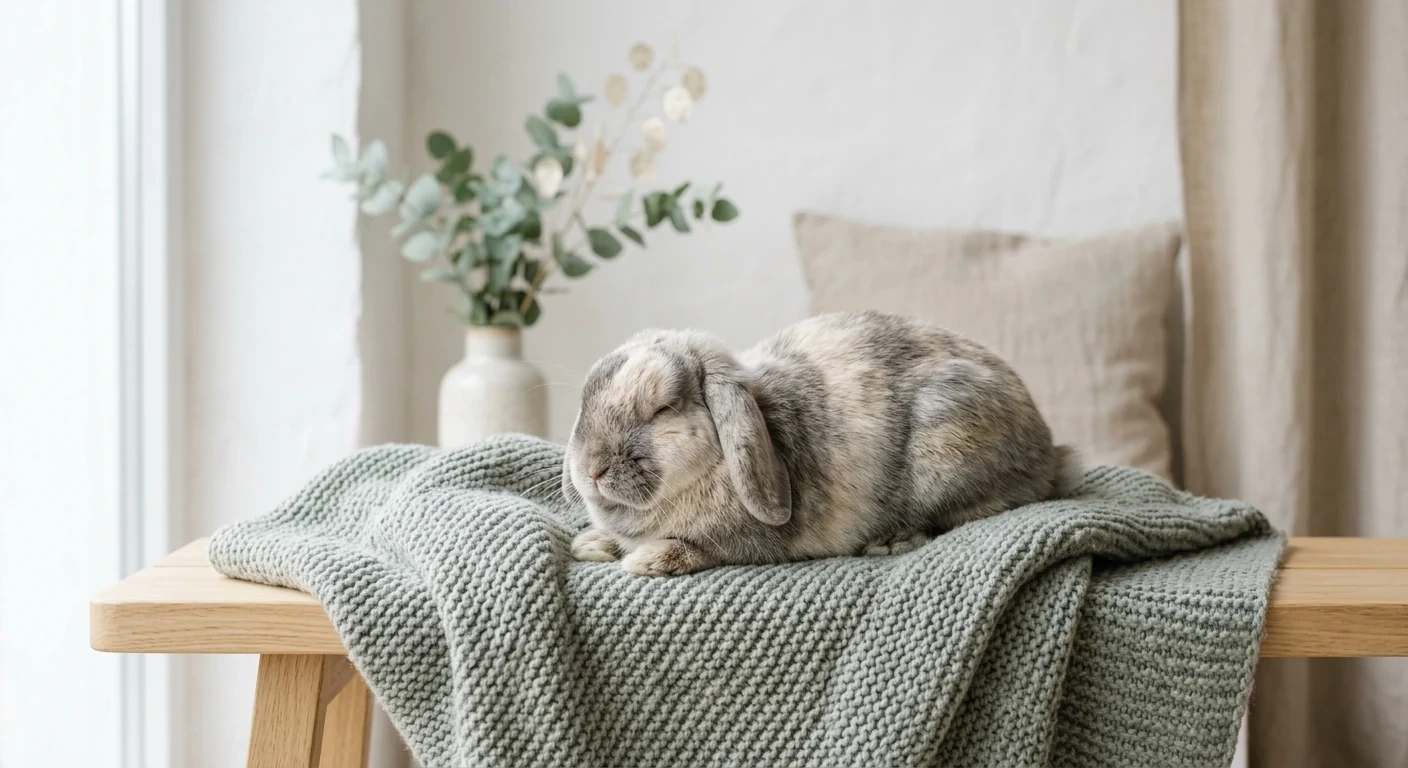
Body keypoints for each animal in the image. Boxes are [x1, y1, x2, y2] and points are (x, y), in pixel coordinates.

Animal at [562, 310, 1081, 577]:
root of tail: (1047, 450)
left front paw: (646, 560)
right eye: (585, 397)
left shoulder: (749, 543)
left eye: (663, 409)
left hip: (946, 449)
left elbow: (702, 550)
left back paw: (890, 541)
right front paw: (591, 544)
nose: (591, 469)